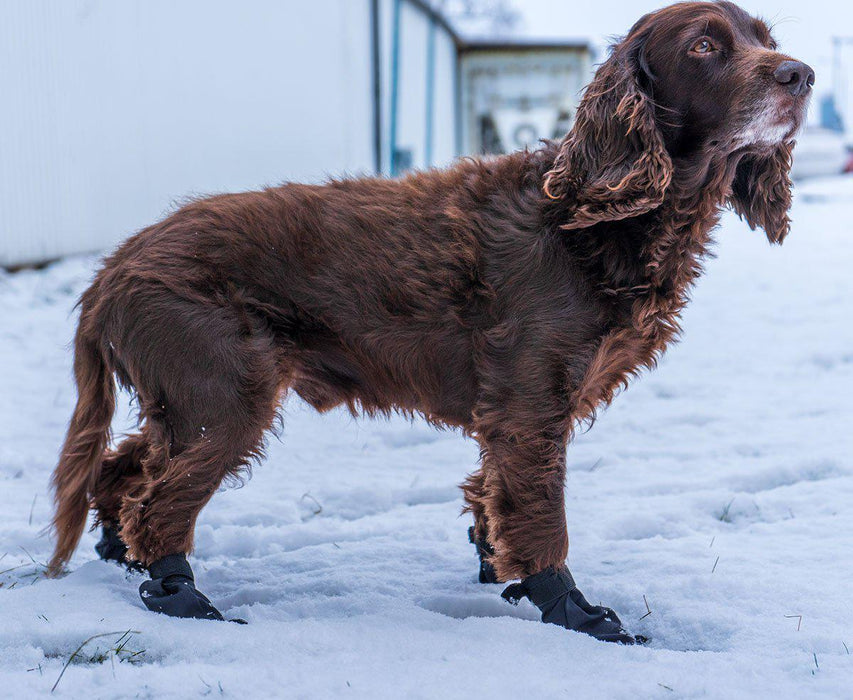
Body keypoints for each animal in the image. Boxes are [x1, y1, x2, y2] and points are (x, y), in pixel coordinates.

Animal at [48, 1, 812, 640]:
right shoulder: (530, 403)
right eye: (705, 45)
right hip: (226, 394)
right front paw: (573, 610)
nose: (800, 75)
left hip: (186, 396)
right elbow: (541, 517)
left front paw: (501, 571)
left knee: (122, 474)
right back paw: (181, 596)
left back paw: (124, 558)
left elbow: (494, 501)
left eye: (763, 37)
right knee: (159, 501)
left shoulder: (512, 410)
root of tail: (112, 269)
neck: (594, 218)